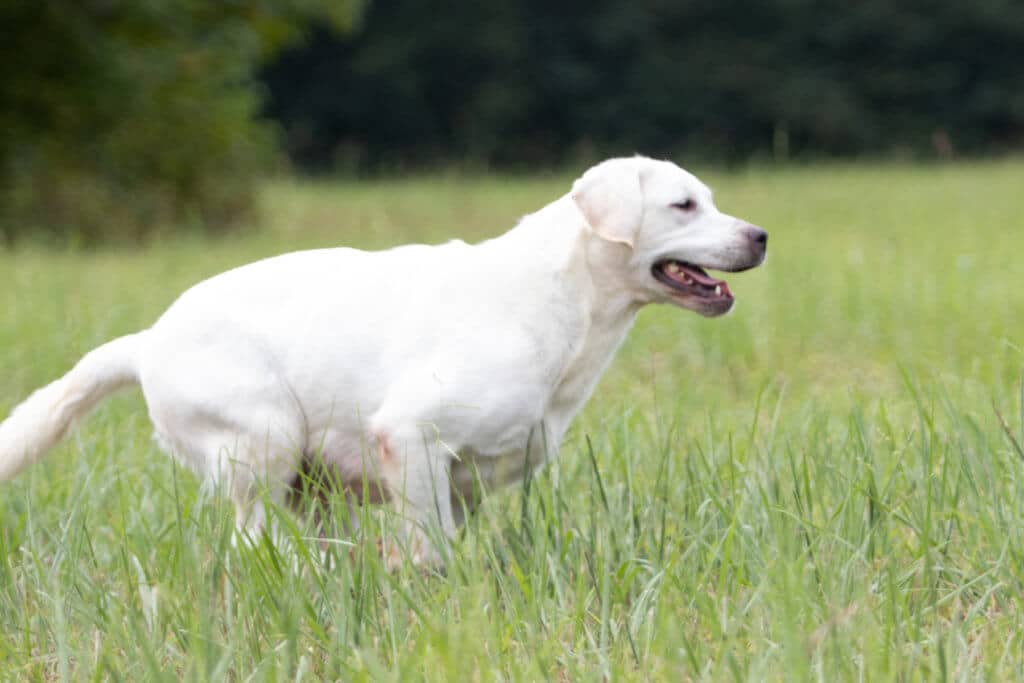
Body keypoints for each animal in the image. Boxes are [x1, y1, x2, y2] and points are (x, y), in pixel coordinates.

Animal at [0, 157, 765, 569]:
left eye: (712, 200)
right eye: (683, 204)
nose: (759, 235)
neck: (561, 300)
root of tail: (147, 339)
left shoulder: (463, 480)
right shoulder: (412, 434)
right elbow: (428, 550)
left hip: (314, 484)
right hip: (265, 442)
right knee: (253, 543)